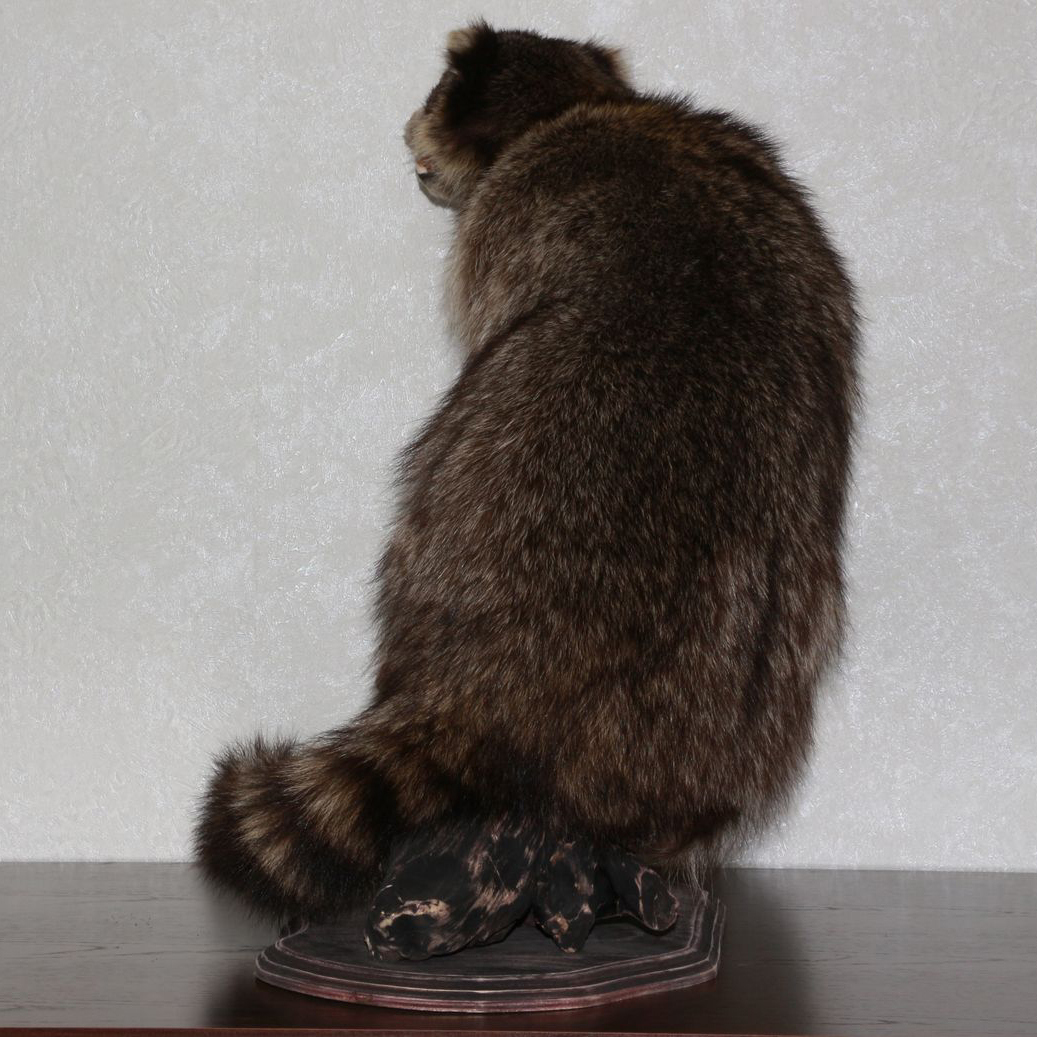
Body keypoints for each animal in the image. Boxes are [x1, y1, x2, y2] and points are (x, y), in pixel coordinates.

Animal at [196, 23, 859, 927]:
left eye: (431, 95)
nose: (401, 128)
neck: (583, 104)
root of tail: (501, 696)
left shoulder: (503, 222)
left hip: (452, 497)